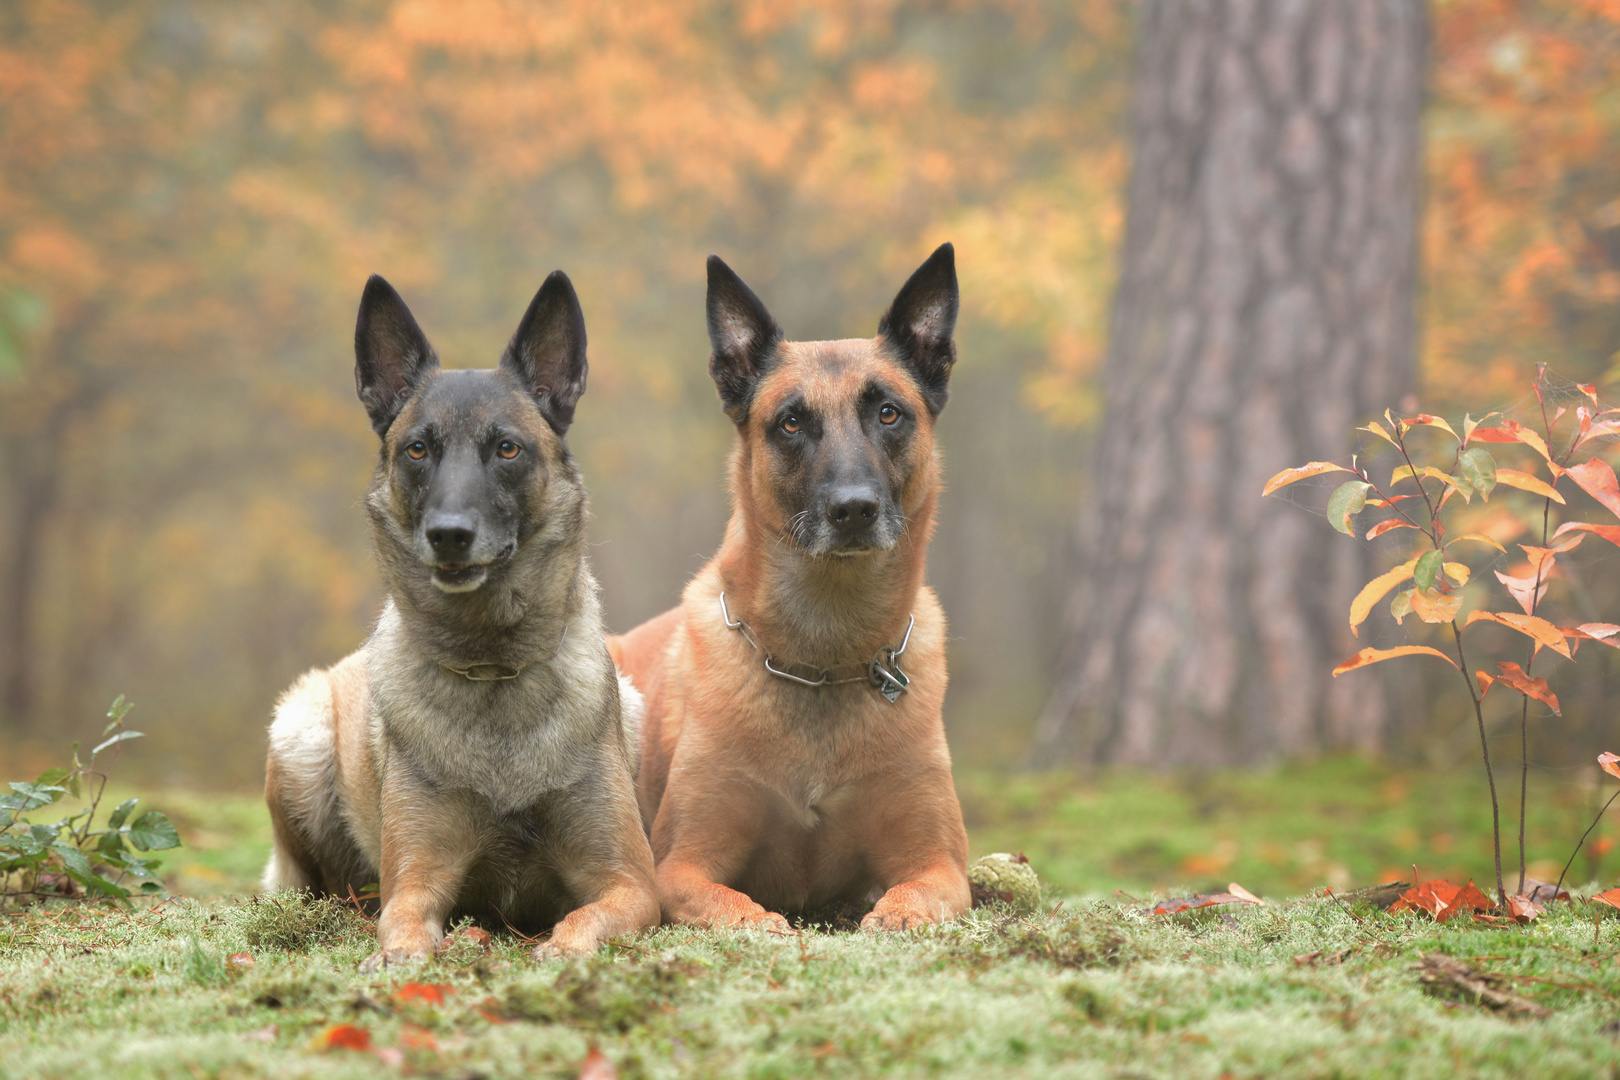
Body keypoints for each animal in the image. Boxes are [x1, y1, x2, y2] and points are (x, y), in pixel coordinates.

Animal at [262, 272, 654, 971]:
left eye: (507, 448)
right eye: (418, 449)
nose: (448, 535)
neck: (492, 666)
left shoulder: (630, 883)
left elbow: (587, 917)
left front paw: (561, 950)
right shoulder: (418, 877)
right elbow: (403, 920)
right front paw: (397, 958)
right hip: (300, 734)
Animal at [605, 242, 959, 932]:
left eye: (888, 413)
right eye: (792, 423)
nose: (853, 510)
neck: (824, 658)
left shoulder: (940, 864)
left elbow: (914, 895)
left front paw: (891, 914)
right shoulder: (680, 865)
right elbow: (737, 908)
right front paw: (765, 924)